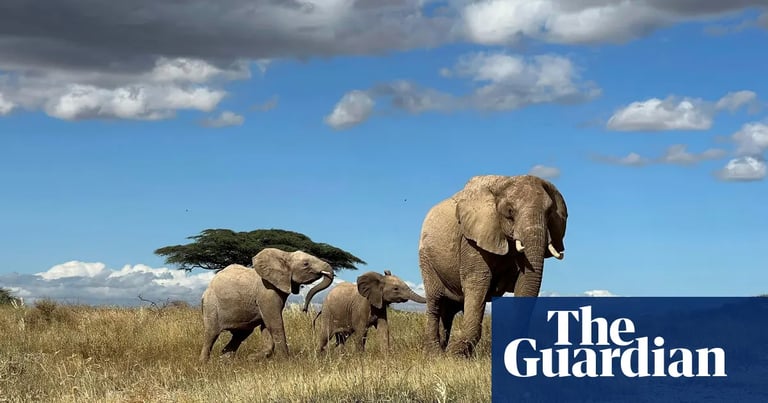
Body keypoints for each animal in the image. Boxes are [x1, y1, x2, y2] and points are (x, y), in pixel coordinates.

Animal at [199, 248, 334, 362]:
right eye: (306, 264)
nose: (304, 309)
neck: (285, 254)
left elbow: (266, 326)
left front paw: (253, 358)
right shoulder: (267, 291)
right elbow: (274, 323)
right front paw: (286, 361)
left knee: (240, 335)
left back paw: (224, 361)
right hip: (211, 305)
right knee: (211, 334)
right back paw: (204, 364)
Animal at [417, 174, 568, 357]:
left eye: (549, 212)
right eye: (510, 212)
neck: (504, 182)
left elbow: (525, 282)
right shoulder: (472, 239)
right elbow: (478, 282)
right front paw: (456, 355)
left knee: (449, 310)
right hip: (426, 259)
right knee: (435, 302)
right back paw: (435, 354)